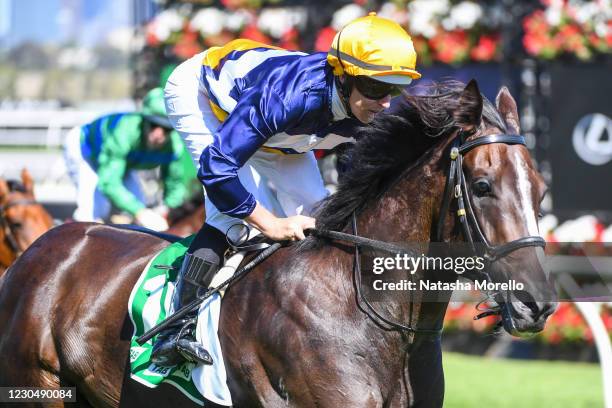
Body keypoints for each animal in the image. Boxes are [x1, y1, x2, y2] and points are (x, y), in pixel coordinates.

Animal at [0, 81, 556, 406]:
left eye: (541, 190)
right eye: (481, 186)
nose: (538, 304)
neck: (362, 308)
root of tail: (44, 247)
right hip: (35, 386)